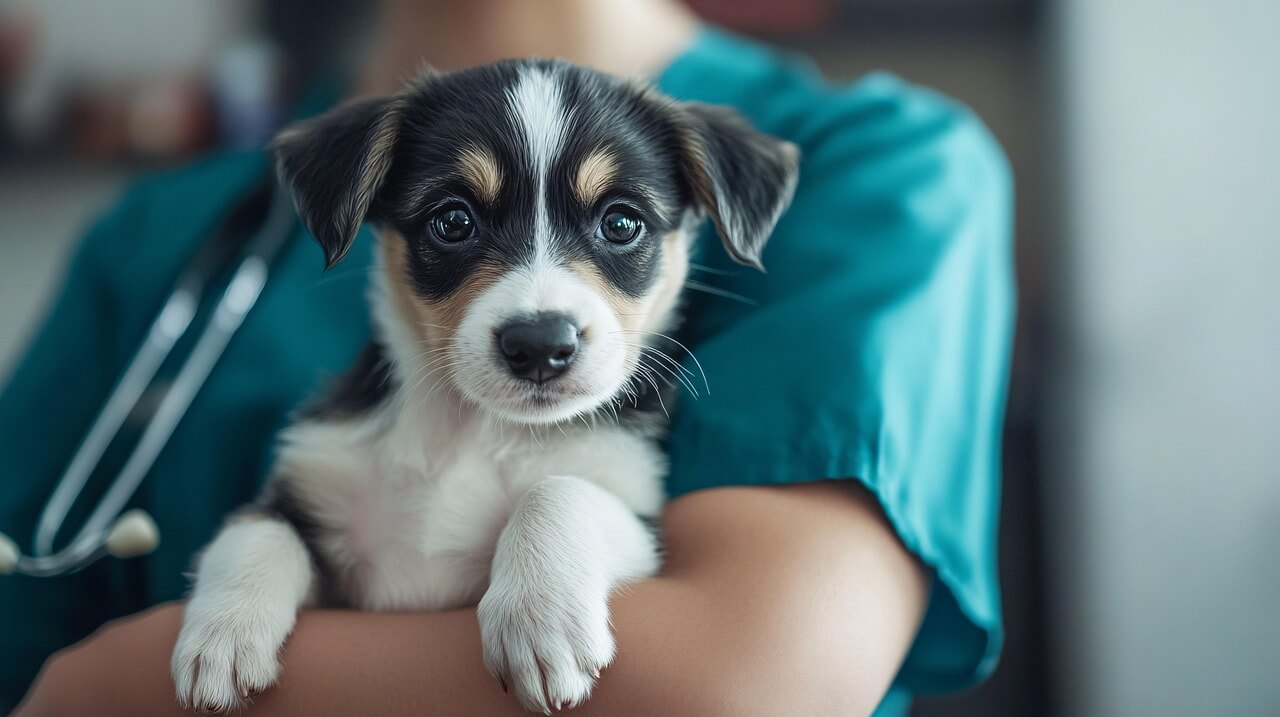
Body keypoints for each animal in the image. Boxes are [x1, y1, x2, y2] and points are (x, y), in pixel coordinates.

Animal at [167, 60, 788, 711]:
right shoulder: (312, 496)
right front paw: (222, 638)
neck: (473, 430)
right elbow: (257, 529)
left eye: (621, 223)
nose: (540, 345)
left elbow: (557, 489)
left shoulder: (645, 530)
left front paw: (539, 620)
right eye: (453, 220)